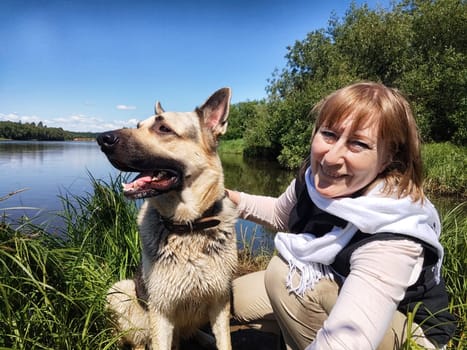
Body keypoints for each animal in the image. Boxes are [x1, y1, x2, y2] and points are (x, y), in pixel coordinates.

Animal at [98, 88, 238, 350]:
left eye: (164, 129)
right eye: (138, 125)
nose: (102, 138)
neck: (188, 228)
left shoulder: (219, 303)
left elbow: (224, 342)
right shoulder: (161, 313)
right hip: (120, 290)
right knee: (139, 341)